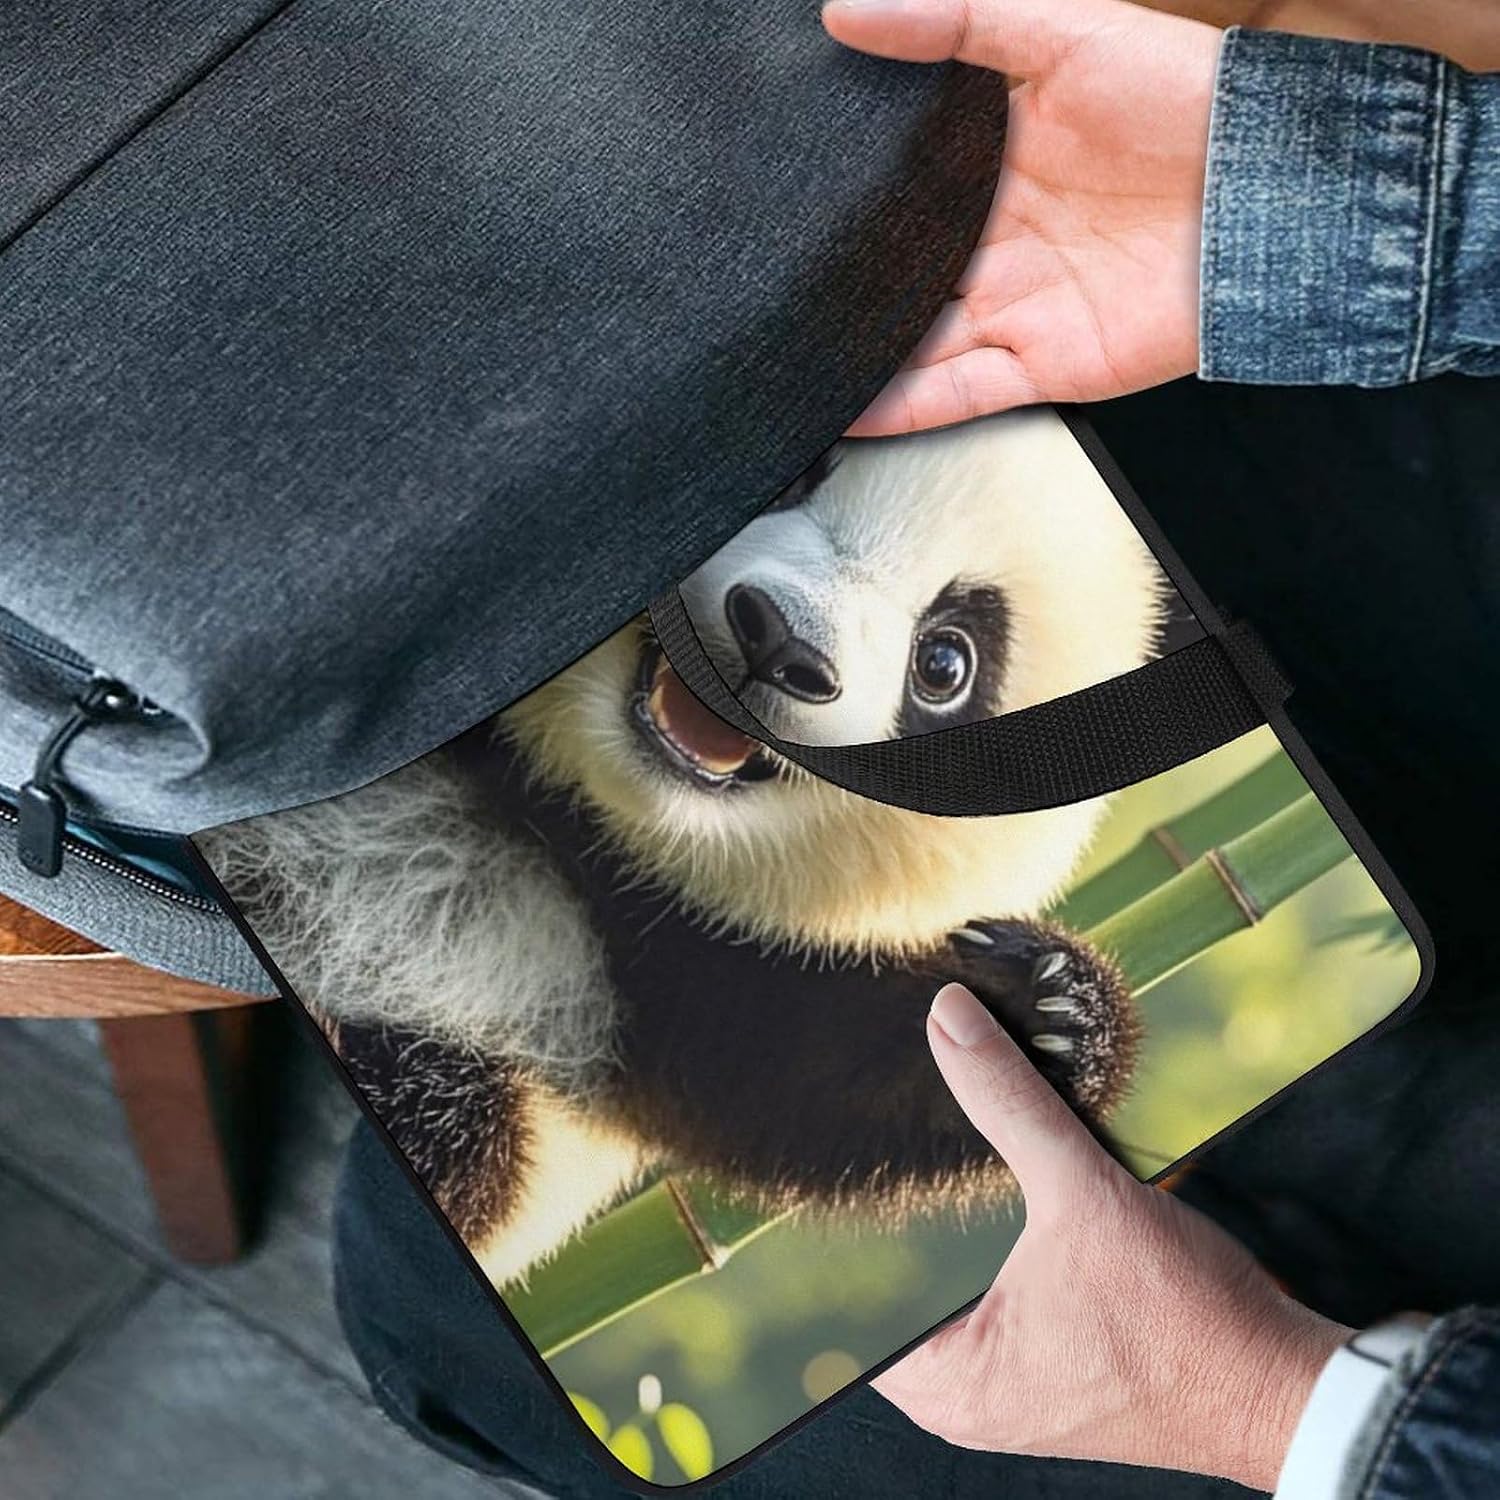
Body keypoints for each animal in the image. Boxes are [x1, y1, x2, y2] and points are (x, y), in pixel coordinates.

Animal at [203, 409, 1167, 1289]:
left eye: (944, 663)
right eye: (791, 477)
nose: (779, 638)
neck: (553, 807)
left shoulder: (666, 972)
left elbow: (797, 1076)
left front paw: (1047, 1010)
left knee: (467, 1129)